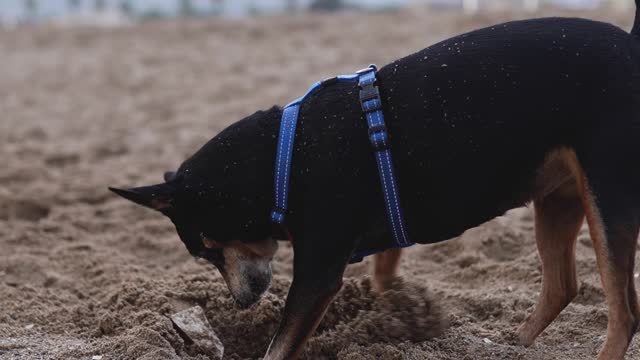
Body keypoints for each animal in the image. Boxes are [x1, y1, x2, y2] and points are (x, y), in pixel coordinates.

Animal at [112, 4, 640, 358]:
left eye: (206, 249)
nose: (242, 301)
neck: (282, 160)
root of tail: (631, 45)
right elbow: (385, 275)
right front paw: (394, 318)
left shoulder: (316, 277)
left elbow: (279, 345)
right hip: (558, 197)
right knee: (562, 286)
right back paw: (513, 345)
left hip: (607, 194)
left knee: (623, 313)